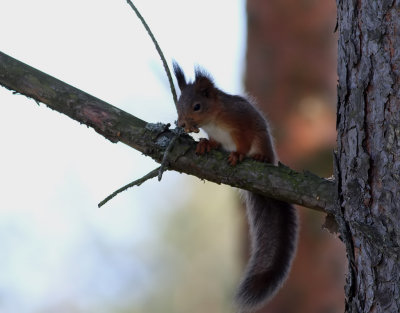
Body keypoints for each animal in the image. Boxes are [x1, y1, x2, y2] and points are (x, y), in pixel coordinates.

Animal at [173, 62, 298, 310]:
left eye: (197, 106)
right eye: (179, 104)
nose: (181, 123)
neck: (214, 119)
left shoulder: (241, 124)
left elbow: (243, 142)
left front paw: (238, 154)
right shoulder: (218, 136)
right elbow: (214, 142)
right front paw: (204, 144)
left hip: (262, 141)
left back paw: (259, 157)